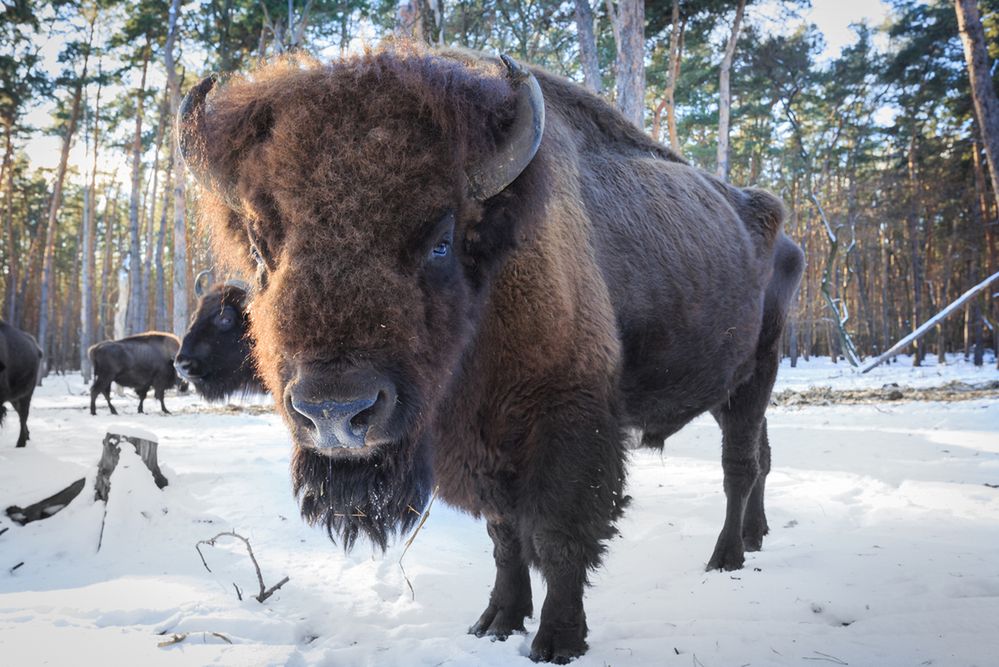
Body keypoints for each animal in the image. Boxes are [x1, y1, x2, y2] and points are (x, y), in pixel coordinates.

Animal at [0, 318, 42, 448]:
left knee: (23, 415)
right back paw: (26, 437)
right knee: (20, 413)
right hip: (14, 398)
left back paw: (21, 443)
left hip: (26, 394)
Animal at [178, 45, 804, 664]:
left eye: (440, 241)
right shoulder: (476, 447)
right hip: (733, 391)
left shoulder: (566, 421)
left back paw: (725, 557)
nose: (335, 410)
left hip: (757, 376)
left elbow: (556, 533)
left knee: (738, 465)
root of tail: (779, 228)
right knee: (762, 456)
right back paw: (754, 538)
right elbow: (504, 535)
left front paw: (556, 641)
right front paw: (496, 621)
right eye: (262, 247)